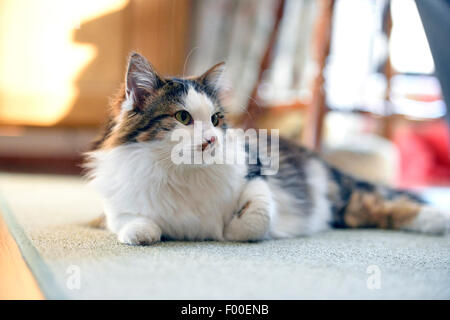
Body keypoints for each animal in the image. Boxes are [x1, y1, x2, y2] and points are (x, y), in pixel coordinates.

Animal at [85, 52, 450, 245]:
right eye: (183, 117)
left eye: (215, 119)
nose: (212, 140)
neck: (181, 173)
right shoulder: (118, 207)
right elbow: (135, 224)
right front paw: (141, 234)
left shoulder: (256, 176)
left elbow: (254, 220)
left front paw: (227, 230)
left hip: (340, 194)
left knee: (381, 203)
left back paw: (435, 219)